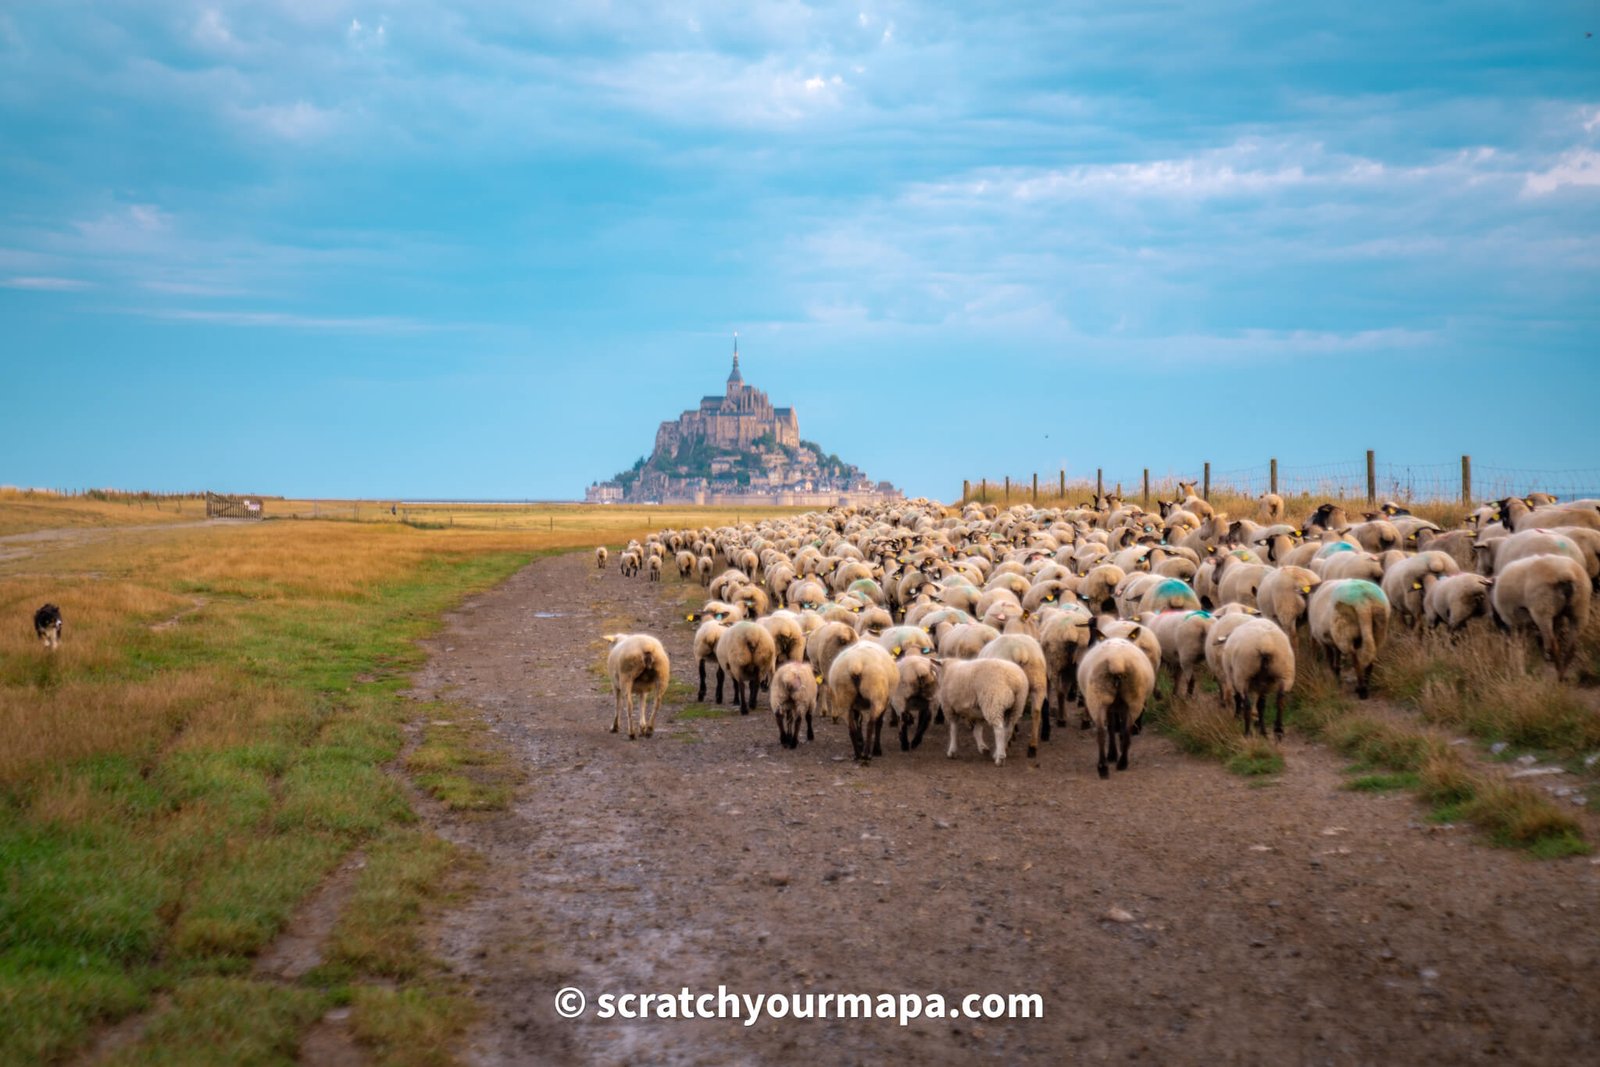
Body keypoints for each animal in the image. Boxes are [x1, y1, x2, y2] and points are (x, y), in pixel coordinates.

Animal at [1075, 639, 1152, 780]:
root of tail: (1117, 661)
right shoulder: (1118, 707)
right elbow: (1116, 728)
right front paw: (1114, 753)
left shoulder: (1113, 708)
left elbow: (1112, 727)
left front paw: (1112, 754)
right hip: (1133, 699)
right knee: (1126, 731)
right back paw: (1121, 763)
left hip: (1098, 697)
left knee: (1101, 732)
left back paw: (1103, 767)